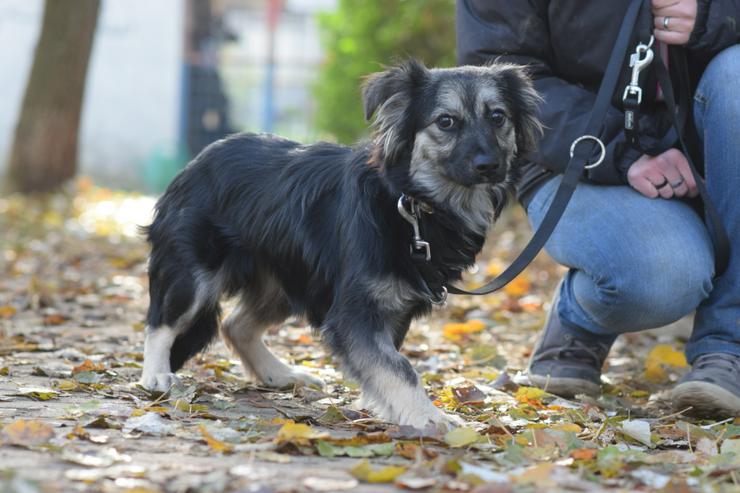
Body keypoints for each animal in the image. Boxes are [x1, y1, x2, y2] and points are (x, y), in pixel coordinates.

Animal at [140, 61, 544, 428]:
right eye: (445, 121)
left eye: (498, 117)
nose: (489, 165)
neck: (410, 203)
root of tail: (195, 163)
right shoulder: (354, 312)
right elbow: (399, 366)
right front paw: (427, 415)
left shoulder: (394, 307)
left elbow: (385, 362)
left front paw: (381, 404)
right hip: (193, 276)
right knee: (162, 322)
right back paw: (155, 375)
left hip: (287, 280)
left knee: (236, 325)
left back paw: (279, 374)